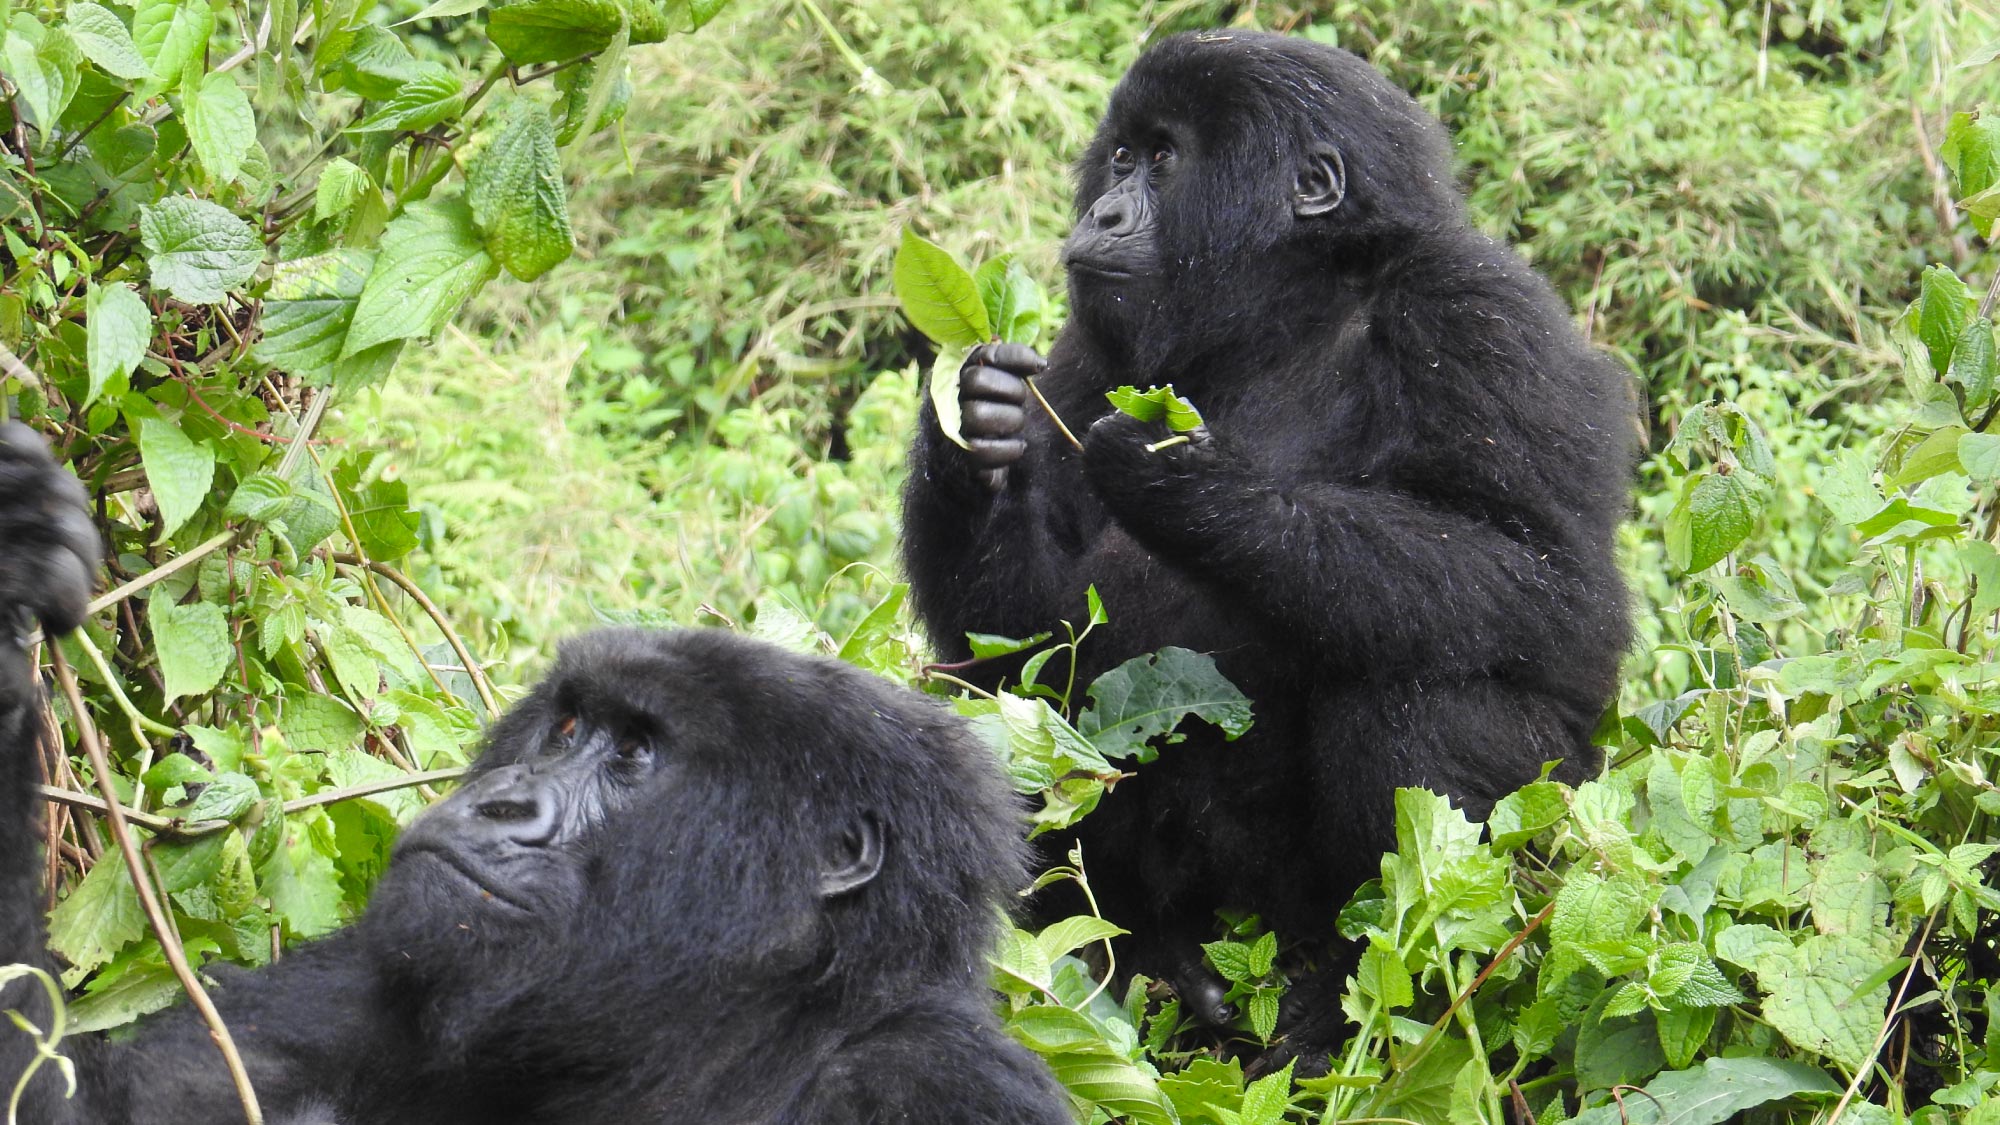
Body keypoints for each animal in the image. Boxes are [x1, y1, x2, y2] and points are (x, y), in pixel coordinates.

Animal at [3, 424, 1080, 1112]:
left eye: (634, 755)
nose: (501, 803)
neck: (734, 1028)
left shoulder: (935, 1080)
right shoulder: (374, 975)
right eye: (564, 728)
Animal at [900, 26, 1632, 1056]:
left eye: (1165, 159)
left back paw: (1347, 1001)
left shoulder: (1479, 313)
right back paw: (1144, 968)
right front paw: (975, 426)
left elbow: (1556, 595)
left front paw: (1194, 484)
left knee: (1426, 689)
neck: (1295, 304)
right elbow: (1027, 649)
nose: (1105, 211)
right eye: (1120, 157)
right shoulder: (1088, 347)